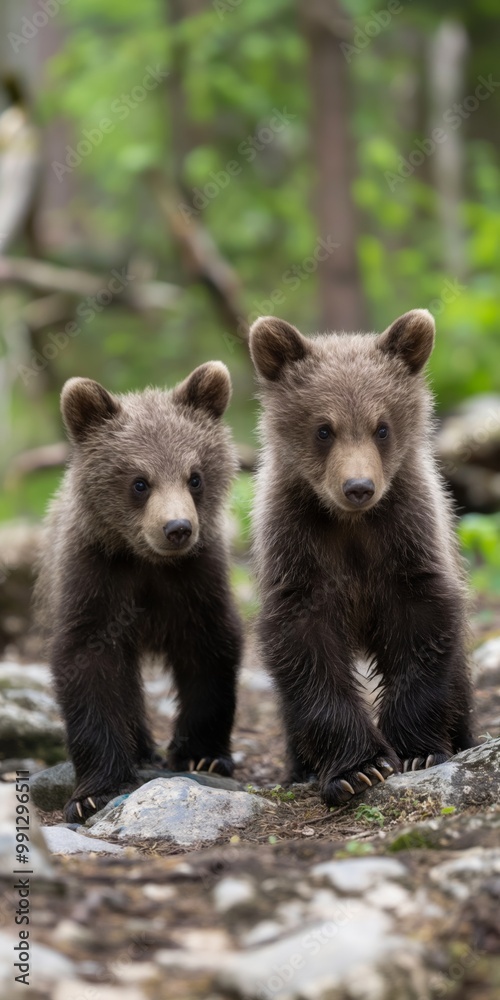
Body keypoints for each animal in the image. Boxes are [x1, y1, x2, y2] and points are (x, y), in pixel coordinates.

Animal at [35, 363, 242, 822]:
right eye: (139, 482)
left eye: (195, 477)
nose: (177, 528)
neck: (147, 562)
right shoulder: (95, 579)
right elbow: (88, 665)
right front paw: (94, 790)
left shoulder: (196, 580)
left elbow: (209, 649)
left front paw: (202, 754)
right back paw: (142, 748)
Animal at [249, 310, 475, 807]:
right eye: (324, 428)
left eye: (381, 426)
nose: (358, 487)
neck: (351, 525)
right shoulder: (298, 549)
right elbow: (307, 653)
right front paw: (358, 769)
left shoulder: (405, 538)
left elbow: (423, 627)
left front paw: (418, 751)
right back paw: (300, 766)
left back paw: (463, 735)